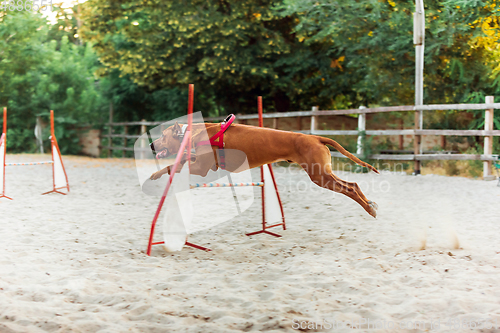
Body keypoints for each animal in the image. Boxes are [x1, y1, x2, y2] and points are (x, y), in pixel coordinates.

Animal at [148, 120, 378, 217]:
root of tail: (315, 137)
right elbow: (176, 164)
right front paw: (155, 175)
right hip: (323, 173)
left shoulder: (201, 167)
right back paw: (370, 204)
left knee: (350, 187)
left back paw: (369, 209)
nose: (151, 145)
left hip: (319, 175)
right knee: (353, 184)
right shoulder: (200, 162)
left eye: (162, 136)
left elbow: (173, 165)